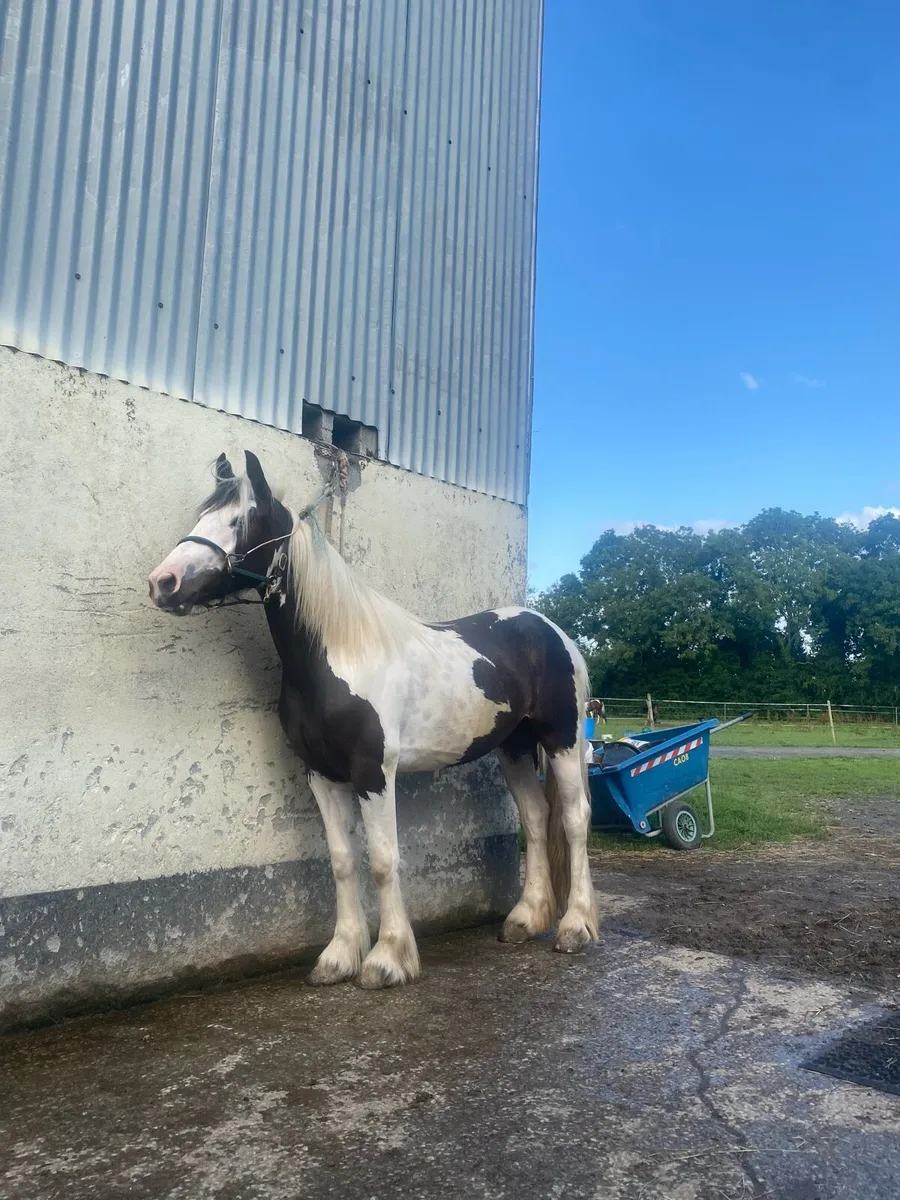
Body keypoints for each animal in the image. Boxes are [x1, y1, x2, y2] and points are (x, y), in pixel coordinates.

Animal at [148, 450, 600, 989]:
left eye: (240, 520)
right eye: (202, 516)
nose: (163, 583)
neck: (337, 656)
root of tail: (552, 631)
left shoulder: (374, 773)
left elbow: (384, 860)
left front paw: (386, 959)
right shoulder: (321, 775)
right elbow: (343, 861)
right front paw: (339, 956)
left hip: (562, 740)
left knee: (573, 820)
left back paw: (574, 928)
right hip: (512, 748)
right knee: (533, 819)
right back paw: (524, 920)